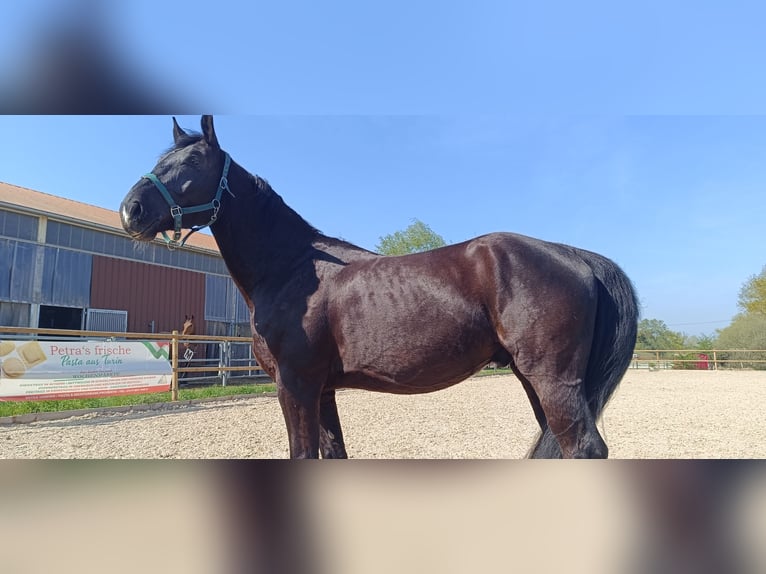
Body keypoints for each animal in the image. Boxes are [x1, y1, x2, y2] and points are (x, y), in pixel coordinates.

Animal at [120, 115, 639, 459]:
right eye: (162, 160)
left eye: (195, 161)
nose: (132, 210)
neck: (292, 268)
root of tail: (574, 255)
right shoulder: (322, 390)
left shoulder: (295, 385)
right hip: (533, 380)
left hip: (553, 380)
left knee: (585, 448)